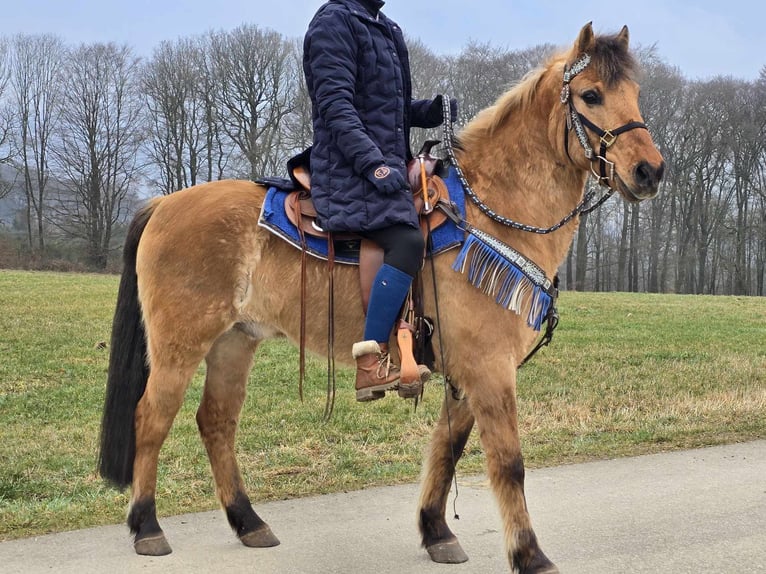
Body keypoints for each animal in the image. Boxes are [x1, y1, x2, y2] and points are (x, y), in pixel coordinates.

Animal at [99, 22, 664, 574]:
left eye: (635, 93)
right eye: (590, 95)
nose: (650, 170)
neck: (488, 213)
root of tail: (163, 203)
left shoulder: (467, 372)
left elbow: (447, 449)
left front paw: (436, 532)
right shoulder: (489, 368)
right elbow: (508, 463)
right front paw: (530, 556)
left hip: (234, 342)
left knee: (216, 421)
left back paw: (247, 521)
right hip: (180, 345)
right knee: (151, 418)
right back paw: (147, 527)